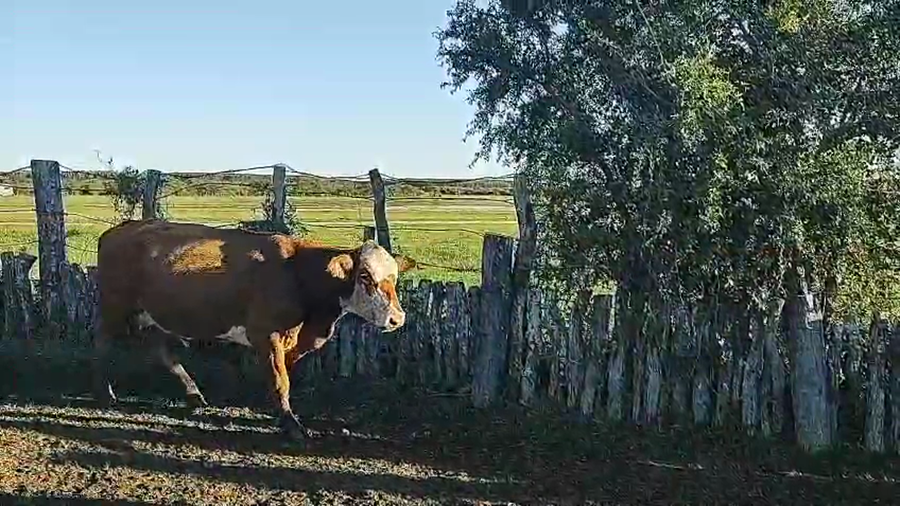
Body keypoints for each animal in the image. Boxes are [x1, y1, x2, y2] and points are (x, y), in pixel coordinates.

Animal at [91, 219, 415, 439]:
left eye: (395, 277)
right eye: (365, 276)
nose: (397, 319)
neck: (298, 273)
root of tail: (121, 229)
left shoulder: (291, 341)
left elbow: (282, 376)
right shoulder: (265, 333)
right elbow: (280, 380)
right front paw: (291, 424)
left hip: (154, 314)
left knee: (160, 351)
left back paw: (193, 394)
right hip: (115, 307)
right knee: (103, 344)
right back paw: (105, 392)